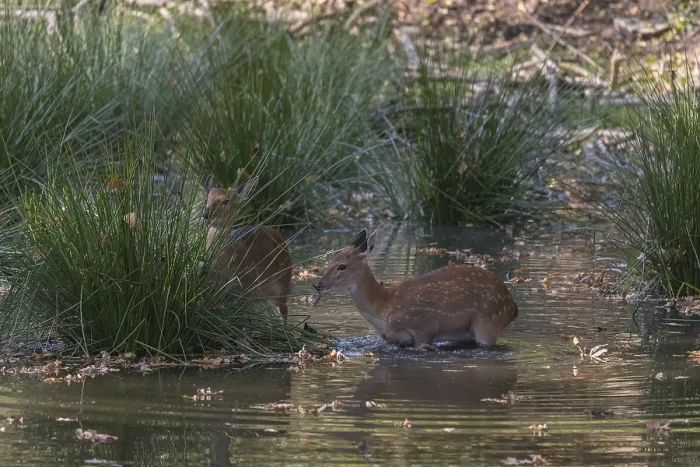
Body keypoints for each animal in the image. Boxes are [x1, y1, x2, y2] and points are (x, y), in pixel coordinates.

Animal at [203, 175, 292, 319]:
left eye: (226, 201)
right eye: (207, 198)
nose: (206, 214)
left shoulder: (245, 290)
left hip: (283, 283)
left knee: (284, 311)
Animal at [313, 228, 518, 348]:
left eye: (342, 266)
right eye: (330, 260)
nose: (319, 284)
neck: (383, 308)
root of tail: (512, 306)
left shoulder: (423, 327)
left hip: (489, 321)